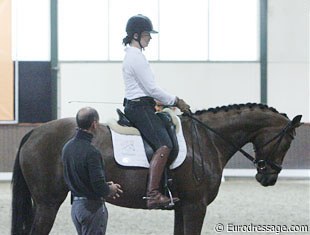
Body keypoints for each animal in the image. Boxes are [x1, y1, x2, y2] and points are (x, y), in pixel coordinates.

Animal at [10, 103, 302, 234]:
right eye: (288, 140)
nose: (268, 177)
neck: (207, 138)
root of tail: (35, 131)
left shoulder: (183, 207)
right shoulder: (196, 206)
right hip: (48, 203)